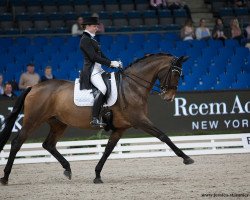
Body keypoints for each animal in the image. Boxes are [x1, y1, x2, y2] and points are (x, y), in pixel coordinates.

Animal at [0, 52, 193, 184]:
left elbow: (108, 149)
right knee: (17, 142)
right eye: (175, 73)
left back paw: (67, 169)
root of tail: (34, 87)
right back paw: (5, 177)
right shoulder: (139, 120)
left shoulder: (121, 127)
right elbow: (163, 136)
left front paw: (97, 175)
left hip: (58, 123)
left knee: (48, 144)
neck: (131, 86)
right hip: (33, 120)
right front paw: (186, 158)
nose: (169, 97)